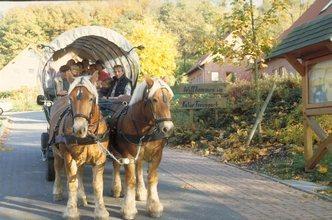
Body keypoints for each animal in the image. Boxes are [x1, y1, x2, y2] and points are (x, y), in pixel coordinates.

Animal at [50, 72, 109, 218]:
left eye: (91, 99)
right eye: (70, 98)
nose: (79, 129)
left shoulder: (100, 159)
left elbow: (97, 184)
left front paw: (101, 210)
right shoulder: (69, 157)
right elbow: (72, 183)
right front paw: (71, 210)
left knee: (80, 173)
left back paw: (82, 197)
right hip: (56, 152)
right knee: (57, 169)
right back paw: (57, 192)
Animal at [110, 77, 175, 218]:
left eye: (170, 98)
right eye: (154, 99)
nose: (167, 128)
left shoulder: (157, 155)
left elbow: (152, 178)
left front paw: (154, 206)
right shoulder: (127, 156)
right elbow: (130, 180)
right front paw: (128, 209)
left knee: (139, 167)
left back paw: (140, 191)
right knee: (116, 165)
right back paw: (116, 188)